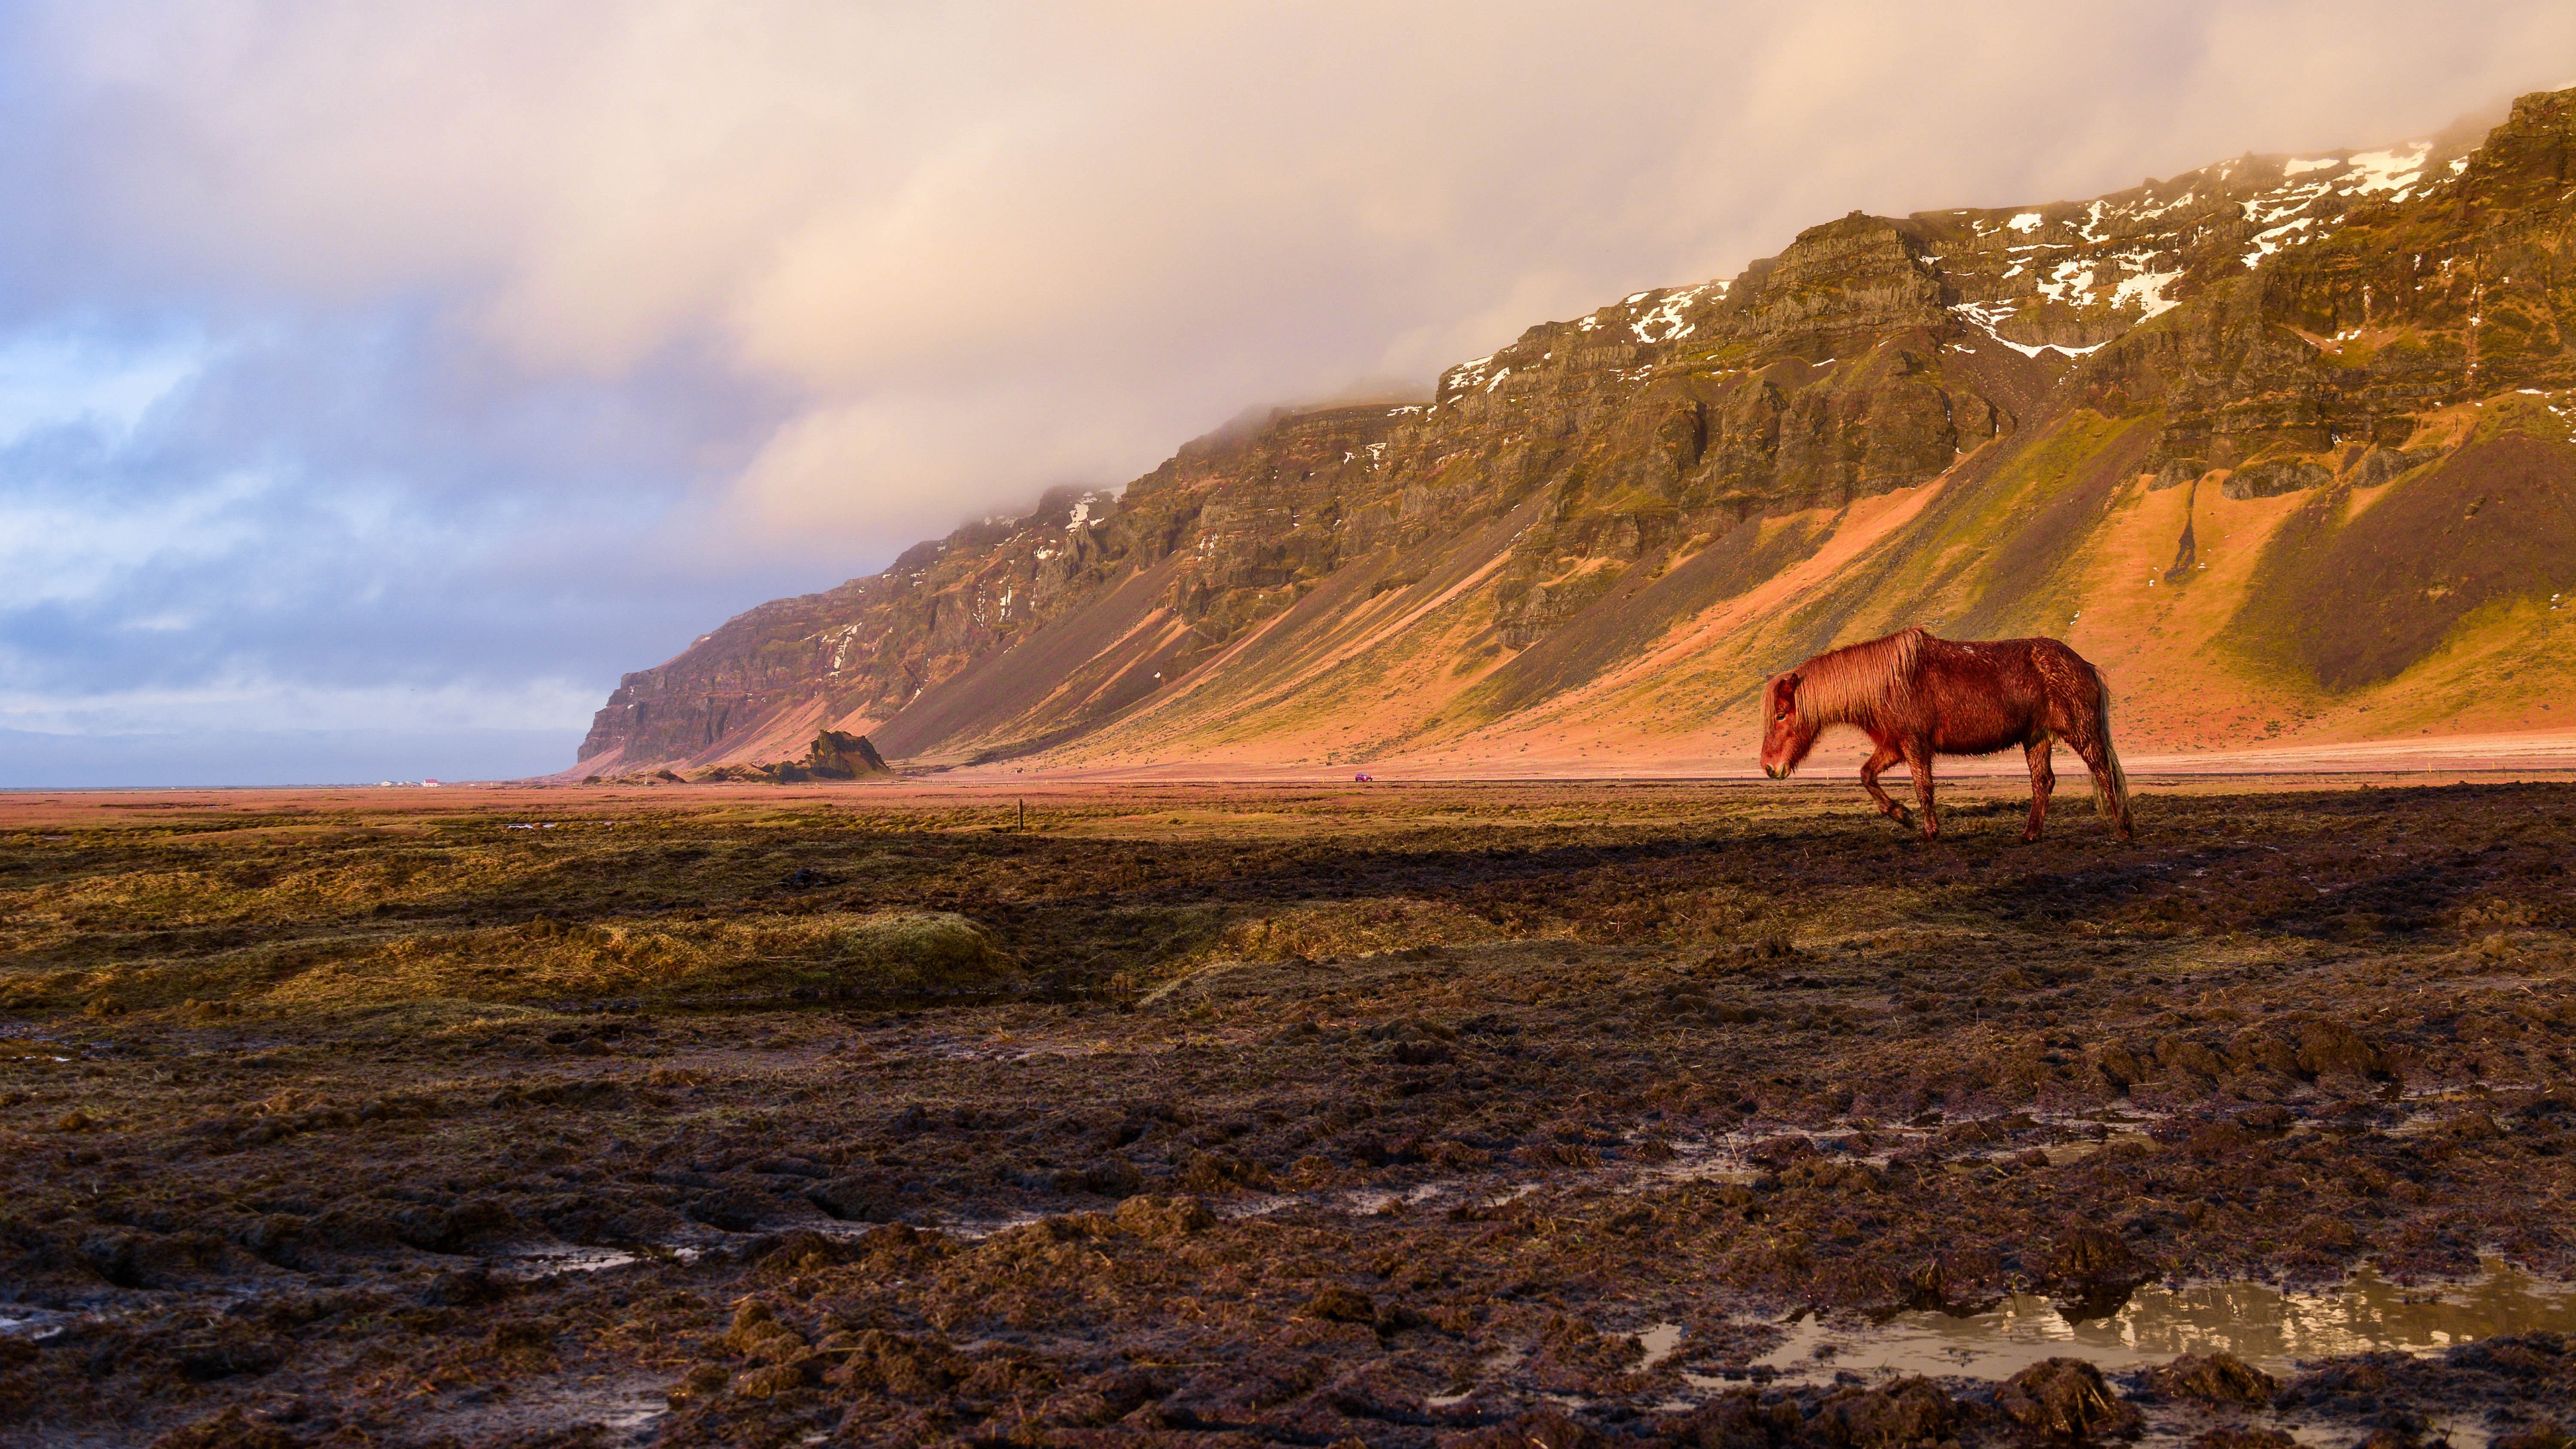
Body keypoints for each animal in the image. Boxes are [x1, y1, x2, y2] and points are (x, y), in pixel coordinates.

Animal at [1759, 627, 2132, 842]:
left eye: (1781, 715)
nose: (1769, 767)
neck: (1888, 684)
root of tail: (2085, 665)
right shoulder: (1893, 745)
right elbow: (1866, 775)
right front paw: (1900, 815)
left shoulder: (1914, 744)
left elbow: (1924, 788)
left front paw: (1928, 832)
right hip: (2036, 738)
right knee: (2043, 782)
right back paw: (2030, 834)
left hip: (2081, 731)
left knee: (2104, 772)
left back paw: (2123, 829)